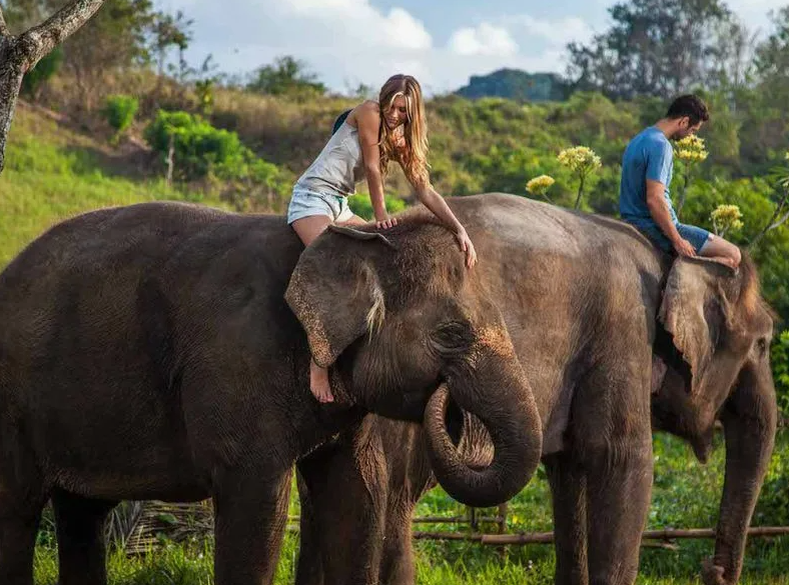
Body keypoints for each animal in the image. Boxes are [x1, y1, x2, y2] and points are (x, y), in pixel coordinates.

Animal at [0, 198, 540, 580]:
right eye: (451, 334)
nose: (447, 402)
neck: (354, 243)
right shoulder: (243, 362)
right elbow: (258, 506)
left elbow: (357, 494)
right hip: (11, 403)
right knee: (18, 509)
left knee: (81, 513)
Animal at [290, 193, 776, 584]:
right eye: (765, 343)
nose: (712, 571)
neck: (668, 254)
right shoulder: (623, 330)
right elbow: (620, 458)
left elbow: (569, 470)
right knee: (388, 505)